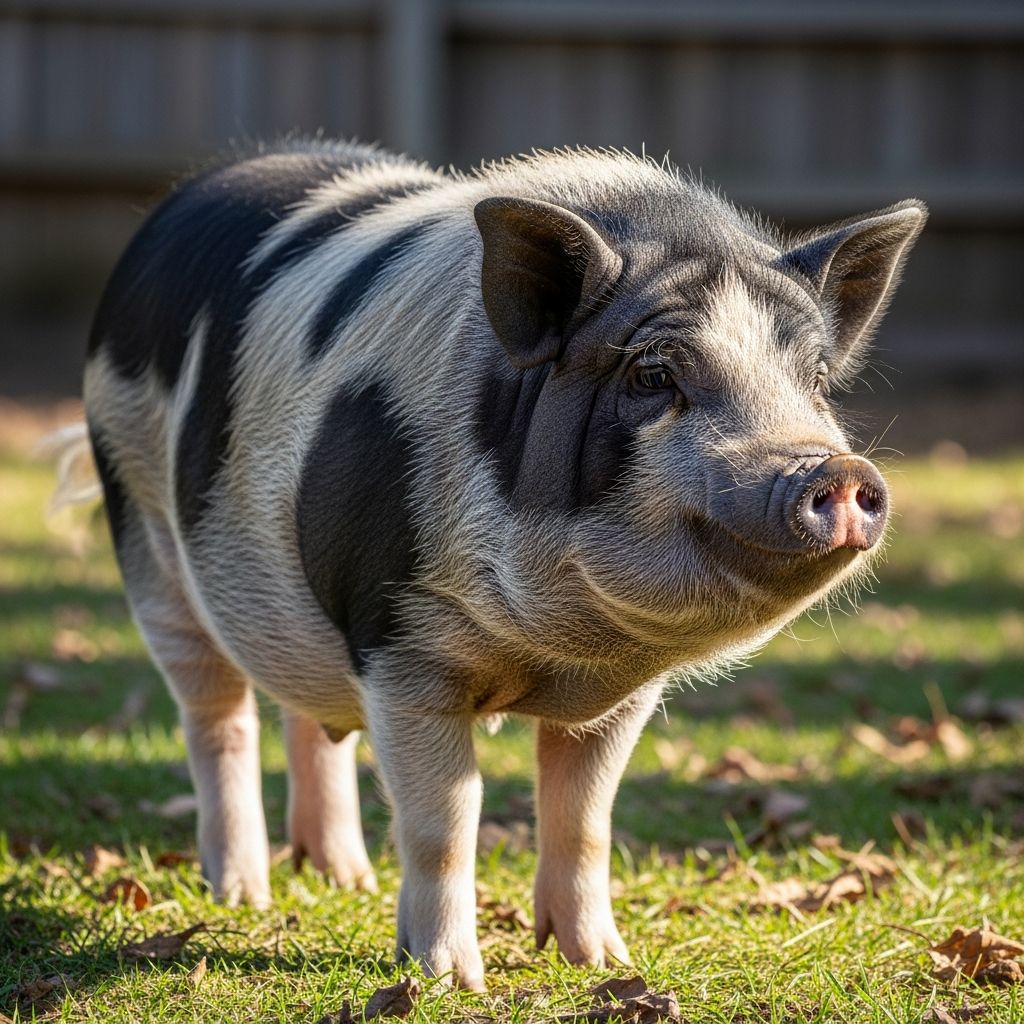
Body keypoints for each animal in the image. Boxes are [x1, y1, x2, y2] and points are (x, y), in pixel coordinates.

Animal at [82, 139, 926, 989]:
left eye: (815, 381)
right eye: (654, 375)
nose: (832, 470)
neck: (558, 646)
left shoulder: (620, 696)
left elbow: (585, 818)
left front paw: (600, 963)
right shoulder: (397, 641)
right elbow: (446, 819)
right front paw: (448, 981)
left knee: (308, 713)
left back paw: (343, 879)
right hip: (143, 528)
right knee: (215, 713)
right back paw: (241, 894)